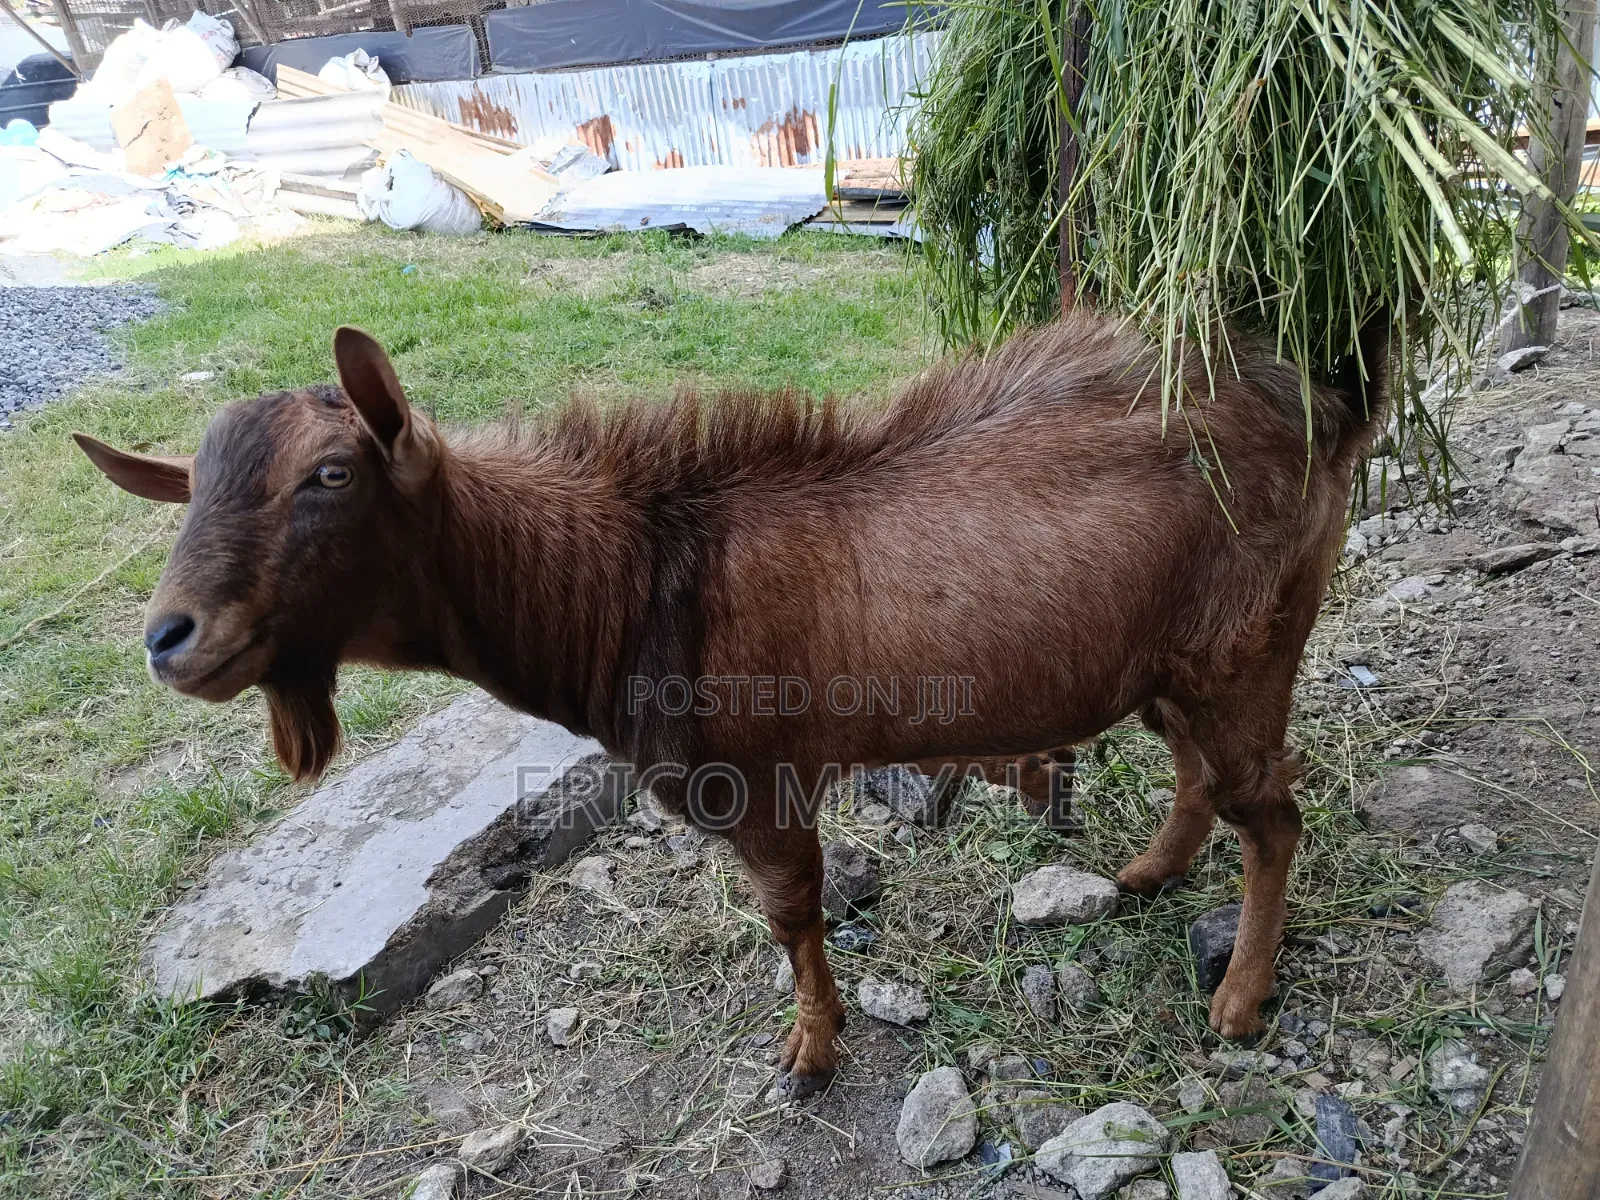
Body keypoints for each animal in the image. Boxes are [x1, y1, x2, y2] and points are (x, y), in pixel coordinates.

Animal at [75, 311, 1384, 1097]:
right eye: (189, 491)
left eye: (330, 475)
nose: (172, 640)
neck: (627, 585)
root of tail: (1327, 409)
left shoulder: (754, 776)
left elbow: (791, 914)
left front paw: (809, 1050)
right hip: (1173, 666)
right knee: (1201, 775)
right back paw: (1148, 876)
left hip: (1245, 650)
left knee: (1273, 816)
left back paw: (1238, 1001)